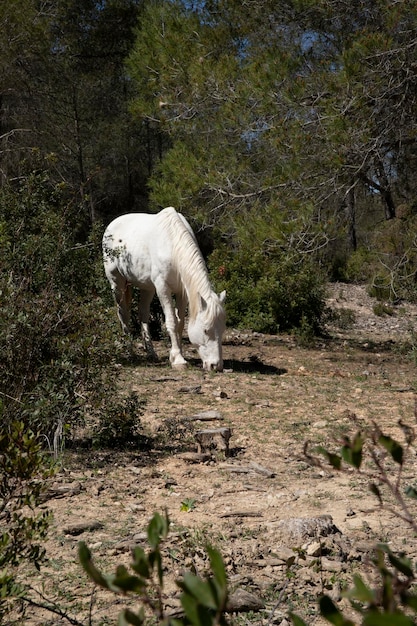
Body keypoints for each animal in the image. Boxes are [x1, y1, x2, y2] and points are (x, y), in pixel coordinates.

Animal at [102, 205, 226, 370]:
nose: (215, 365)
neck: (172, 246)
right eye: (206, 330)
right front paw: (178, 359)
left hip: (147, 288)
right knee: (123, 314)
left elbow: (180, 323)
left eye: (223, 329)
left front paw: (177, 354)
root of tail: (110, 226)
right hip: (117, 283)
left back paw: (151, 353)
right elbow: (171, 322)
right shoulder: (163, 289)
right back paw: (130, 351)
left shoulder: (181, 292)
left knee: (143, 315)